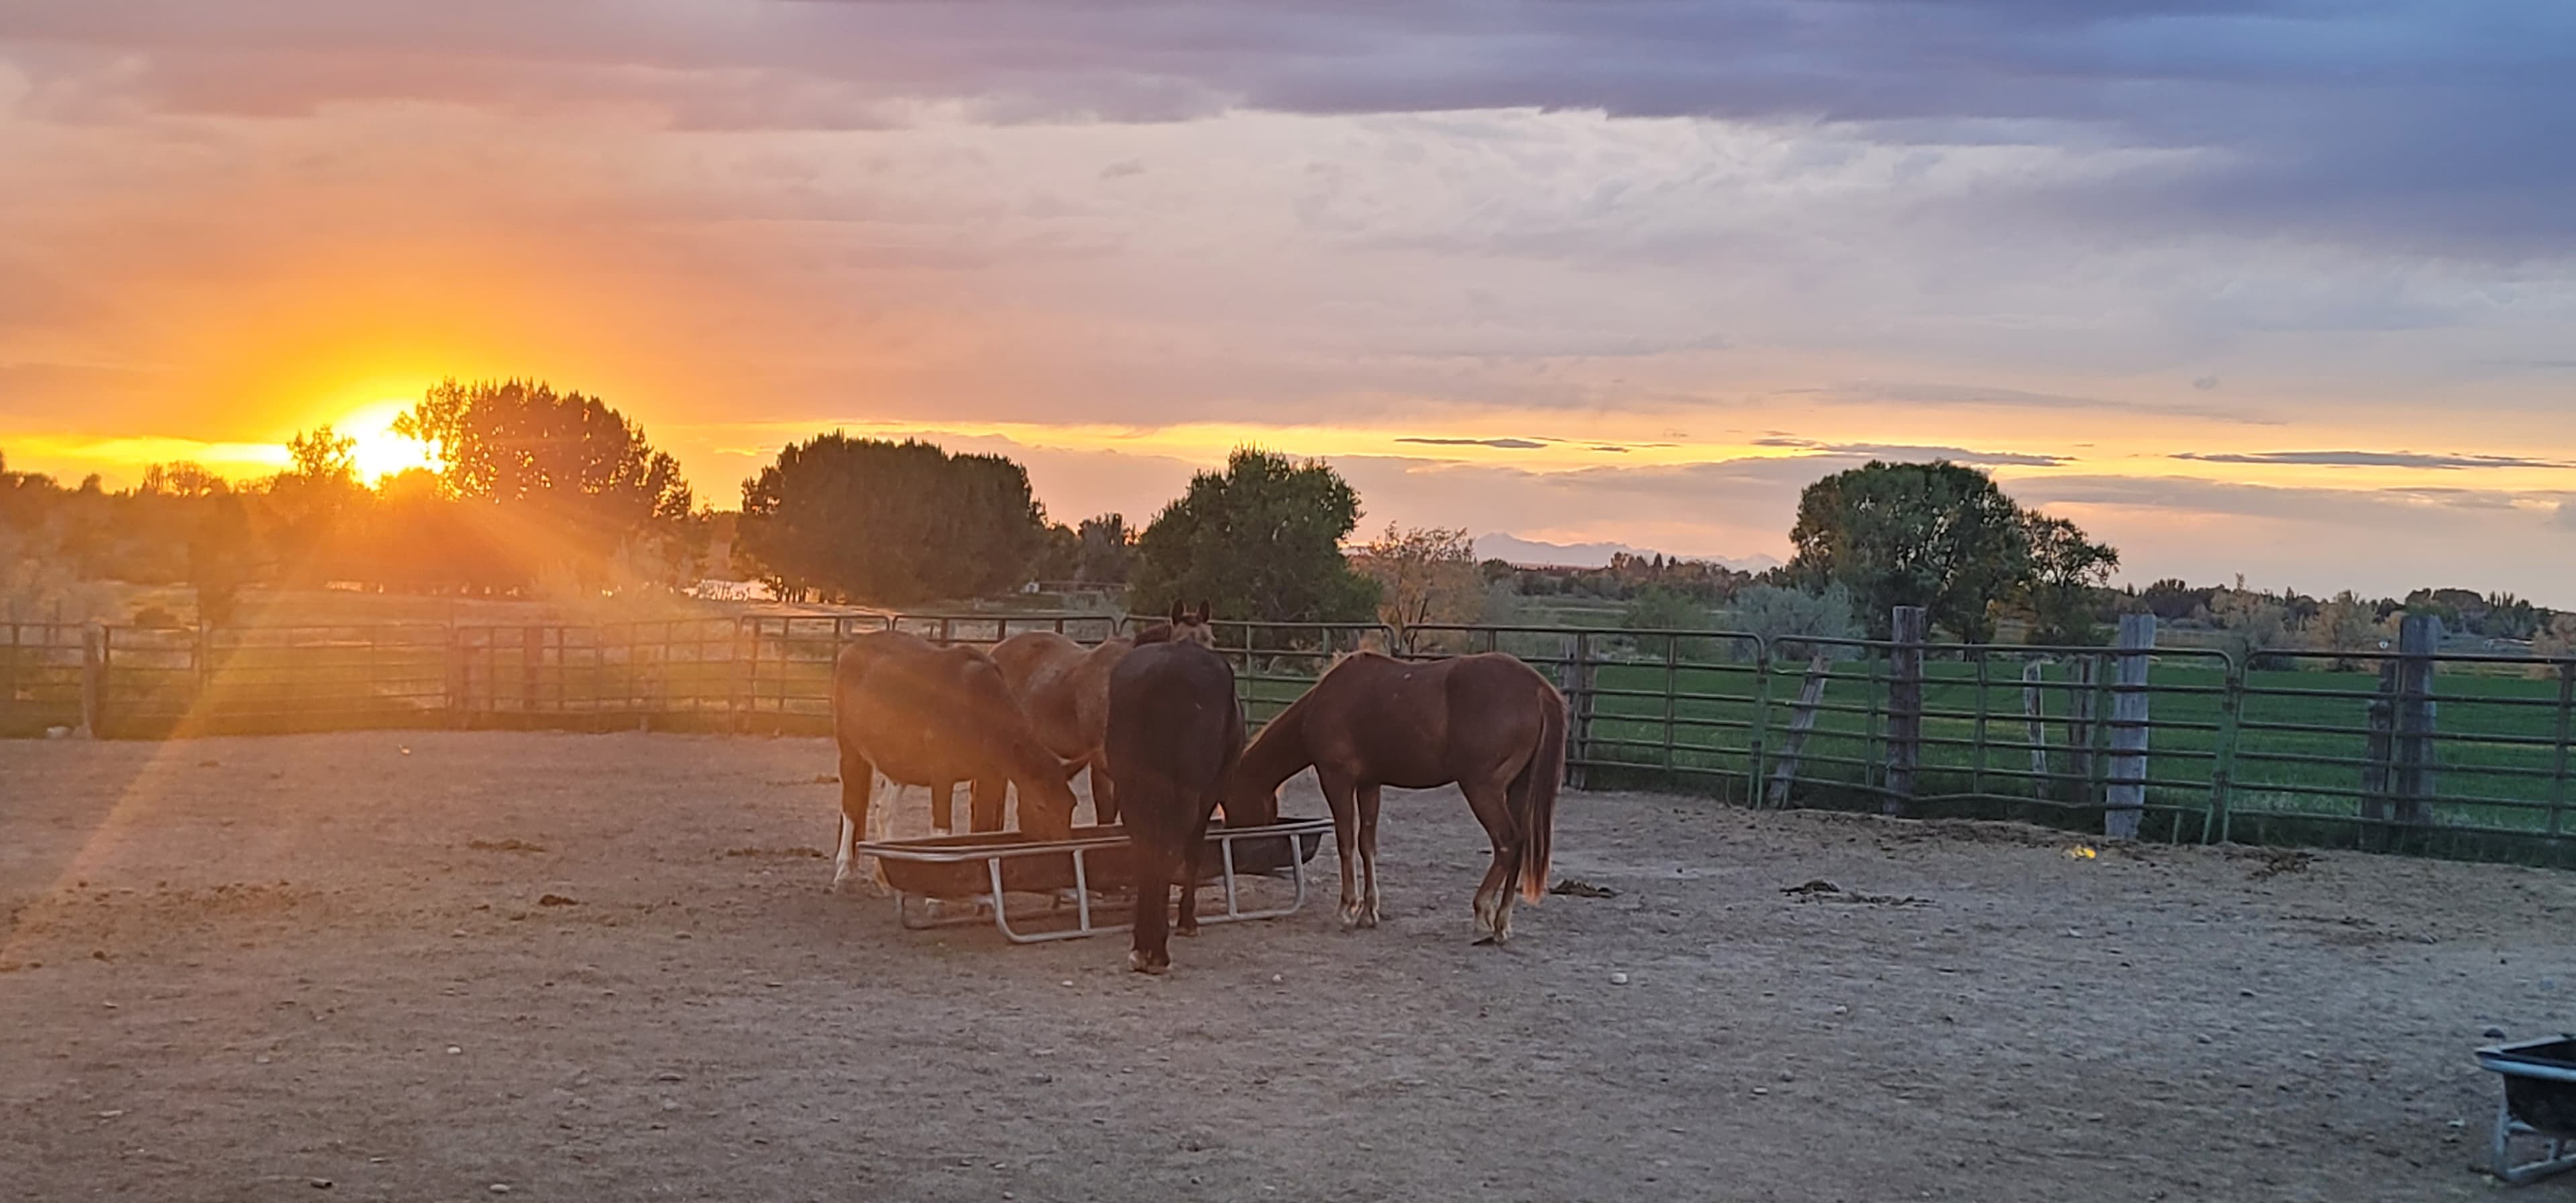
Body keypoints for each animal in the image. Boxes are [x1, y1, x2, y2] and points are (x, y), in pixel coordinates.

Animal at [827, 629, 1079, 892]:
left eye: (1071, 805)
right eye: (1041, 806)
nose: (1065, 862)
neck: (973, 703)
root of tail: (852, 650)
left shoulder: (989, 778)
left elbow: (983, 832)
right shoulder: (942, 777)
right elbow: (942, 831)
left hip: (896, 761)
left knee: (884, 810)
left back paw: (886, 878)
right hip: (851, 751)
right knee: (851, 806)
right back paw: (844, 871)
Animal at [1103, 633, 1243, 974]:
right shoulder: (1207, 796)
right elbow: (1193, 853)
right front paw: (1187, 919)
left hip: (1134, 789)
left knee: (1144, 853)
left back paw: (1142, 946)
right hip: (1183, 795)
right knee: (1169, 851)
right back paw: (1156, 950)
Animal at [1226, 651, 1566, 943]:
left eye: (1228, 801)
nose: (1239, 846)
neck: (1325, 702)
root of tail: (1538, 689)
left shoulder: (1336, 779)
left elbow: (1346, 842)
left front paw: (1346, 908)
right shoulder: (1369, 785)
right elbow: (1367, 845)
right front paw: (1368, 912)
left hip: (1483, 789)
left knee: (1508, 843)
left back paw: (1483, 910)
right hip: (1517, 789)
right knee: (1520, 844)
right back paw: (1502, 923)